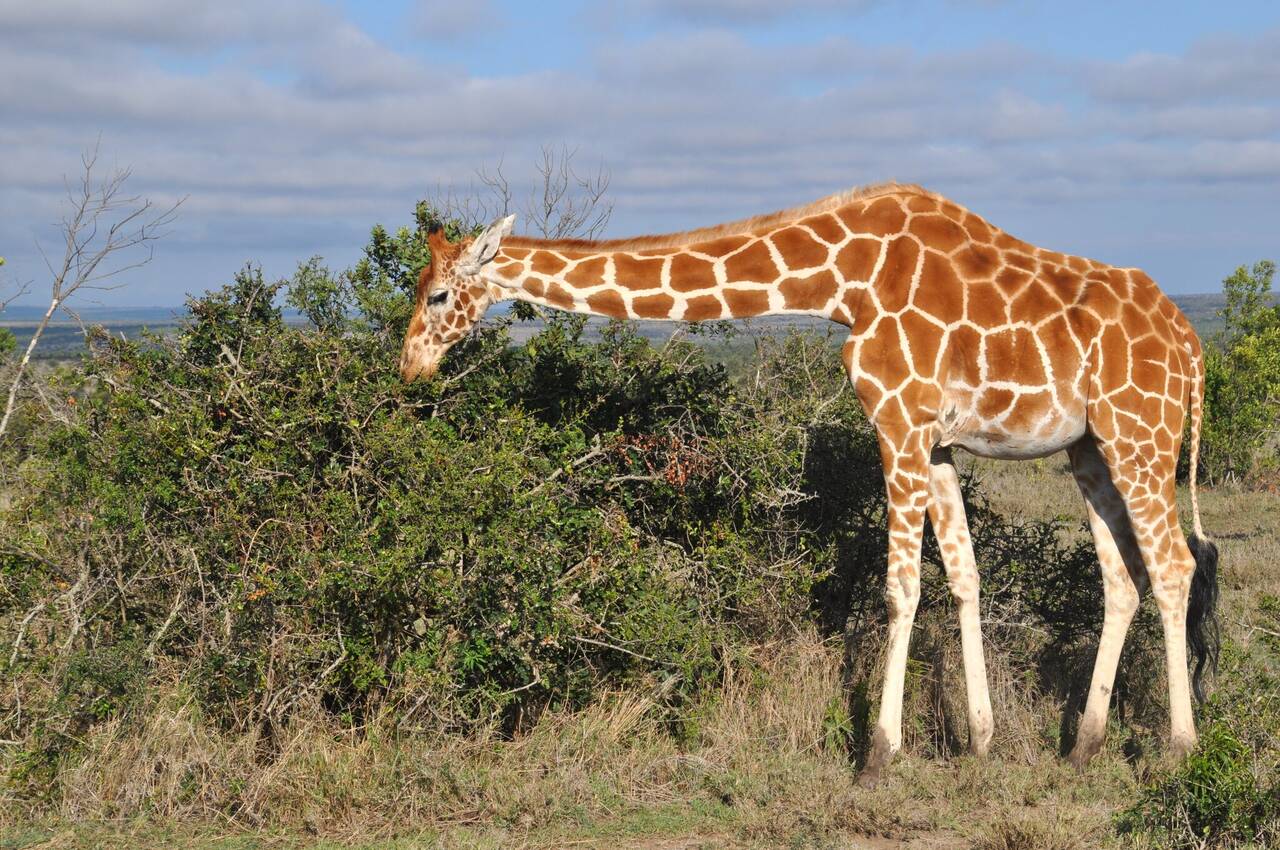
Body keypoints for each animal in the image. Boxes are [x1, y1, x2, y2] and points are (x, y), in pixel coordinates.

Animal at [398, 182, 1220, 786]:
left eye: (437, 296)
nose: (410, 367)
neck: (840, 281)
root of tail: (1191, 344)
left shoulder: (896, 418)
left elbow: (900, 585)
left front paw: (879, 754)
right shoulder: (938, 440)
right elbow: (963, 576)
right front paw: (980, 741)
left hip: (1141, 433)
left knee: (1175, 565)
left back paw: (1181, 749)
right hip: (1090, 447)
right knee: (1122, 577)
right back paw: (1083, 747)